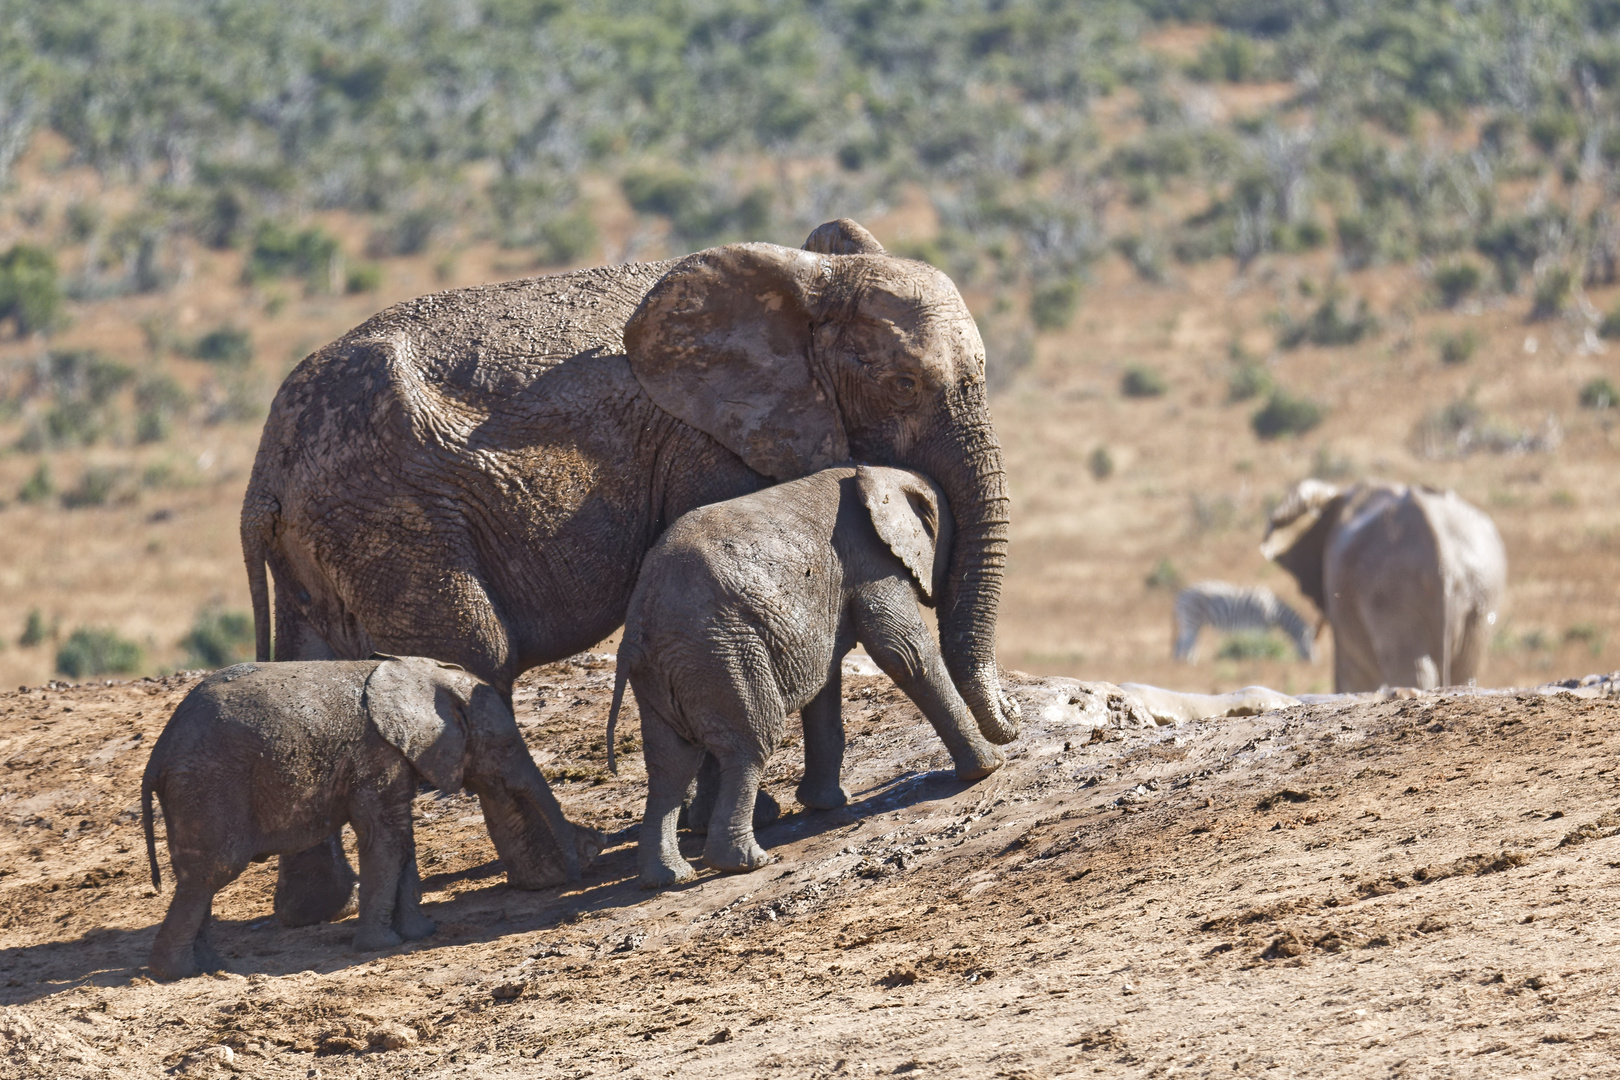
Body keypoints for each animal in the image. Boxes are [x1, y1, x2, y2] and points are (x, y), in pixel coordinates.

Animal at [144, 654, 602, 984]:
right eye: (507, 745)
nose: (576, 874)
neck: (422, 674)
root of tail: (158, 753)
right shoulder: (377, 754)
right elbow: (386, 839)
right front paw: (380, 945)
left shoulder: (395, 759)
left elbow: (402, 838)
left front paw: (420, 934)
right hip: (208, 784)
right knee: (211, 872)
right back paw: (179, 972)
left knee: (198, 877)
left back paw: (208, 965)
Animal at [609, 466, 1004, 887]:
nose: (1010, 716)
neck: (871, 474)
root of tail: (638, 627)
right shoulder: (870, 562)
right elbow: (904, 651)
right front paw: (990, 766)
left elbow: (825, 685)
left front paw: (826, 803)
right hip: (722, 655)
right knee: (751, 743)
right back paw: (745, 862)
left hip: (666, 672)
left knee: (671, 764)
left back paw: (667, 878)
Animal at [1179, 579, 1315, 663]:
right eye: (1310, 643)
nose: (1314, 663)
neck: (1273, 610)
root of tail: (1183, 593)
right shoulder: (1259, 627)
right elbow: (1260, 645)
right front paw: (1258, 658)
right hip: (1191, 620)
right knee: (1183, 644)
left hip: (1195, 625)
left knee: (1187, 644)